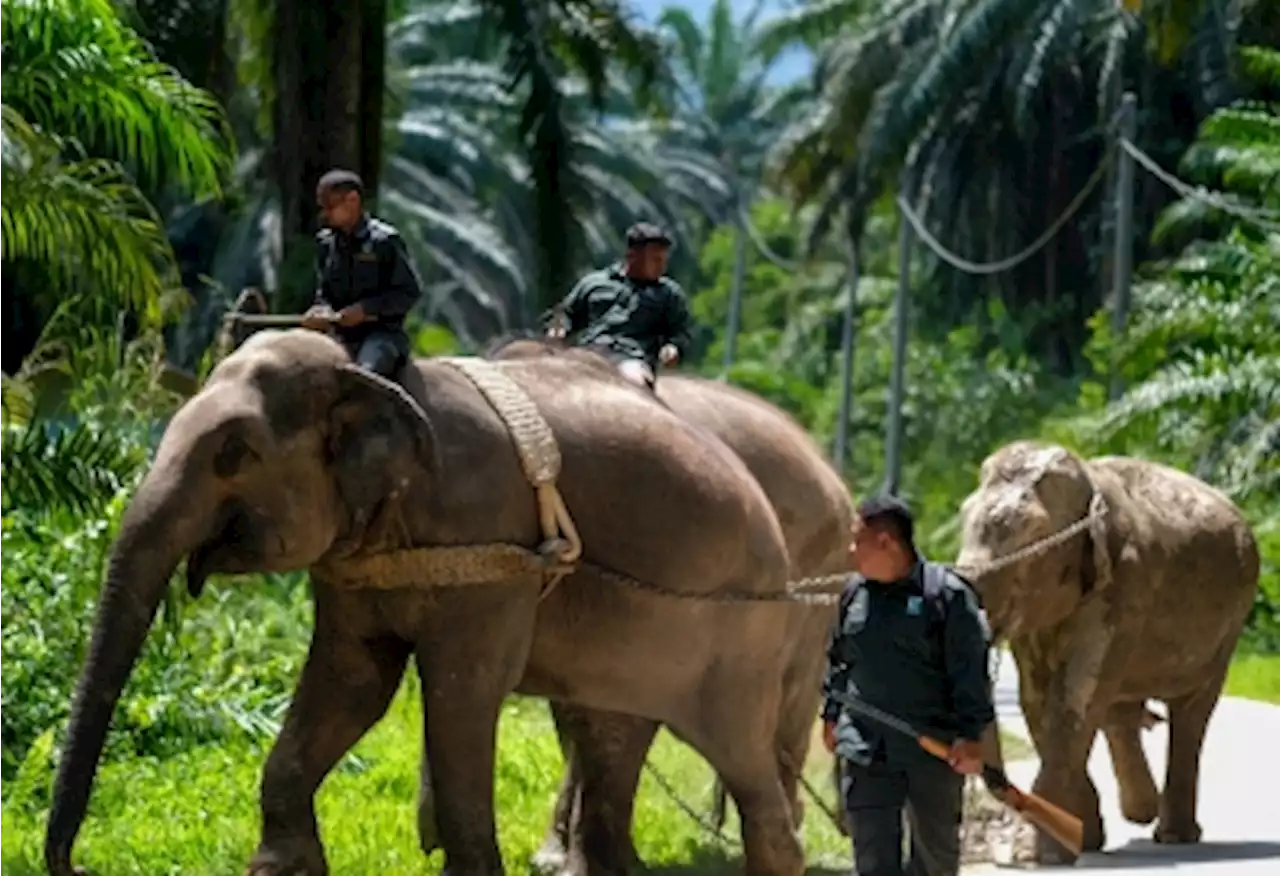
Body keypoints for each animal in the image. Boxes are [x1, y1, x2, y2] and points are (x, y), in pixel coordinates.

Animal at [47, 327, 819, 876]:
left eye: (234, 452)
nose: (78, 867)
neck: (369, 375)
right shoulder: (357, 565)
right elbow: (352, 682)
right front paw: (281, 869)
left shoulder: (491, 545)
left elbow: (461, 692)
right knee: (611, 739)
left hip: (736, 632)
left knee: (742, 755)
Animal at [952, 440, 1259, 865]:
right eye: (964, 514)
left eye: (1035, 534)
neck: (1089, 483)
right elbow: (1037, 699)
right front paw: (1080, 841)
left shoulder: (1123, 585)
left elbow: (1073, 696)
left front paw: (1039, 856)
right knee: (1119, 708)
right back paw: (1140, 810)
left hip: (1229, 627)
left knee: (1192, 711)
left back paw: (1172, 833)